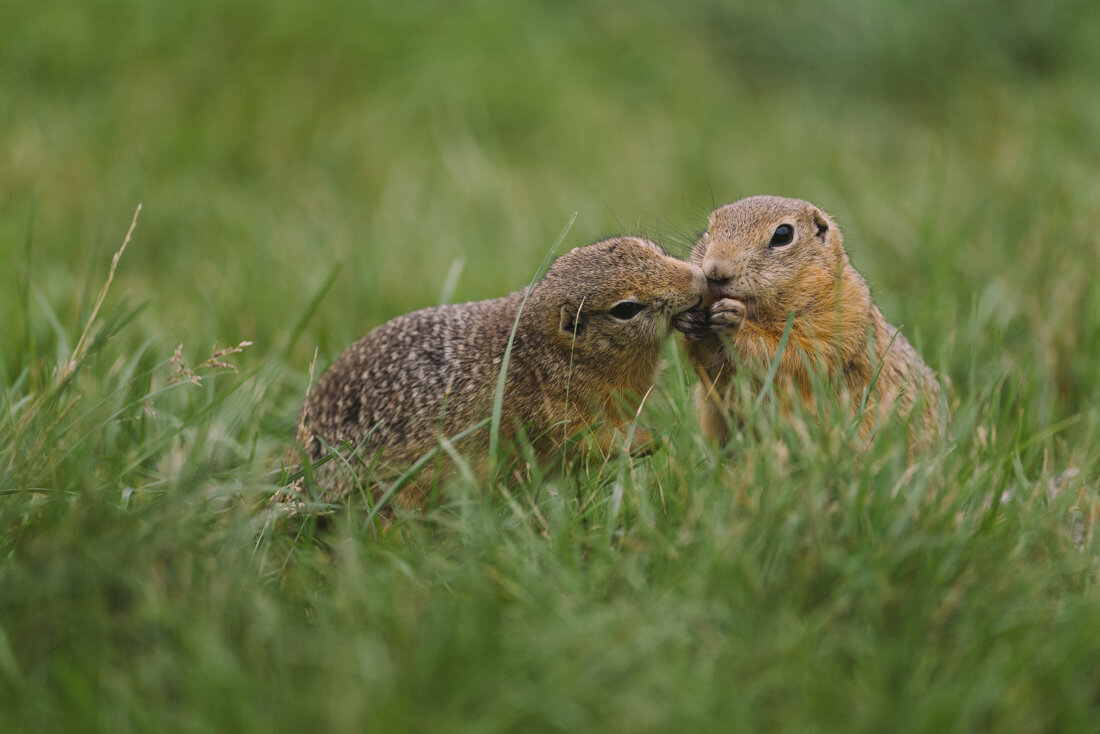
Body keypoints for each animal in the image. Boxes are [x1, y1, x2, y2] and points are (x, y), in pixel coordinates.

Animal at [292, 235, 704, 506]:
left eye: (651, 247)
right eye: (625, 309)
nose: (699, 280)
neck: (543, 353)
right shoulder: (550, 419)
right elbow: (591, 445)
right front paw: (650, 441)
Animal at [677, 194, 946, 444]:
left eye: (783, 234)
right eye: (708, 230)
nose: (715, 271)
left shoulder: (842, 319)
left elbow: (797, 358)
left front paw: (735, 322)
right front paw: (687, 320)